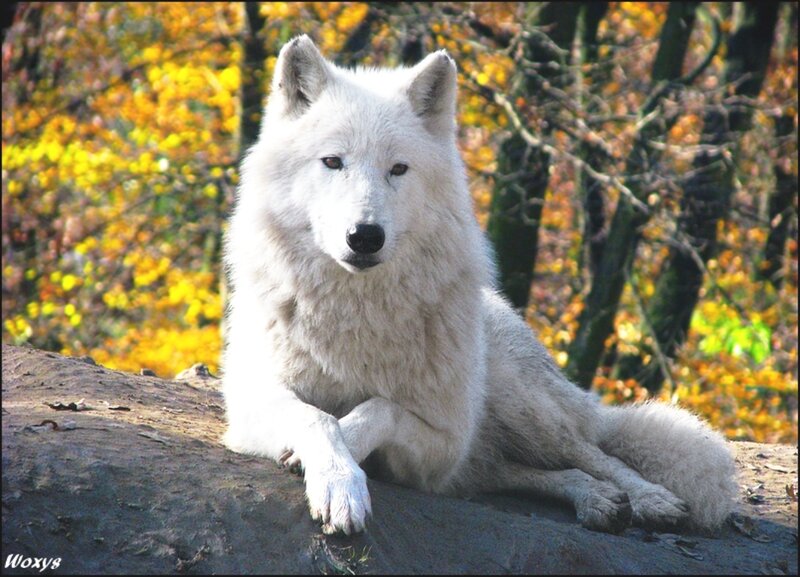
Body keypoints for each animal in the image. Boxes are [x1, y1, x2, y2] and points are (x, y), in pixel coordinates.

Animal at [222, 35, 737, 536]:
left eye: (398, 169)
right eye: (332, 162)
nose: (365, 236)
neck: (356, 312)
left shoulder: (442, 445)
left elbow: (377, 408)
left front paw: (336, 466)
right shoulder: (250, 403)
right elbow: (317, 416)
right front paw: (337, 484)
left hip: (524, 406)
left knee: (597, 454)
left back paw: (650, 499)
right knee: (524, 472)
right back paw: (598, 501)